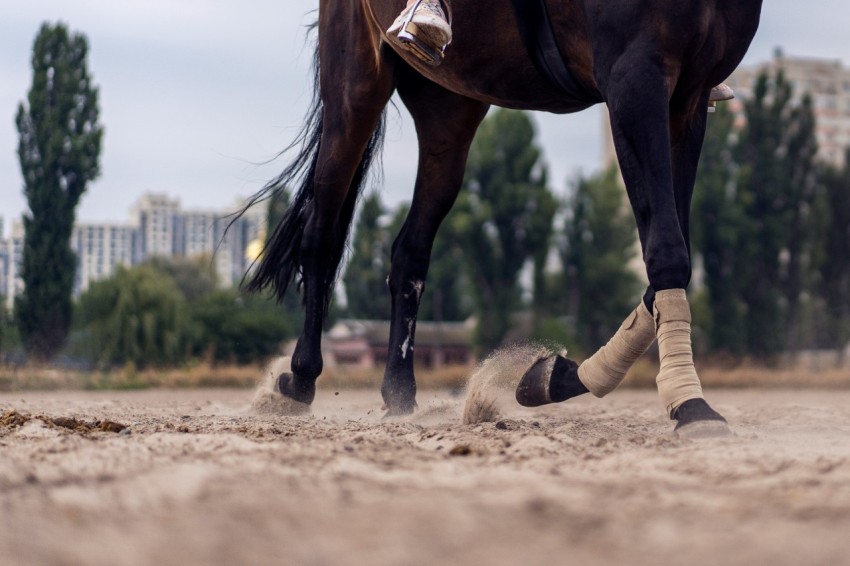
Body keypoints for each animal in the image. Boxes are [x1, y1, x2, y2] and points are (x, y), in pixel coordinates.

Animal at [243, 0, 763, 435]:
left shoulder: (688, 95)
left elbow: (670, 254)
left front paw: (557, 376)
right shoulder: (634, 77)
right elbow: (667, 250)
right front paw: (690, 405)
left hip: (449, 107)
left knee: (410, 250)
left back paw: (400, 393)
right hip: (356, 88)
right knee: (322, 234)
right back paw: (299, 380)